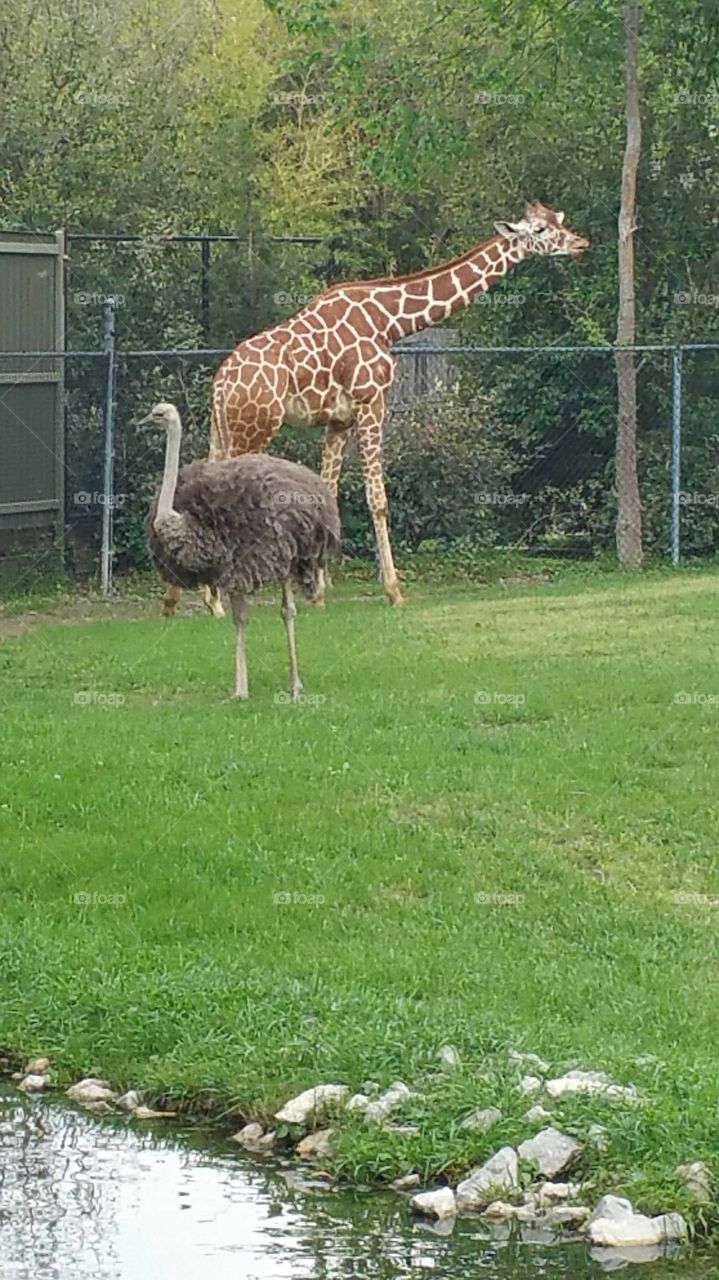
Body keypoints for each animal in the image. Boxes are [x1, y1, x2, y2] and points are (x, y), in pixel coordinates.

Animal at [162, 202, 588, 615]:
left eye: (558, 218)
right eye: (541, 229)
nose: (580, 243)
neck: (389, 321)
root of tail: (221, 383)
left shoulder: (338, 419)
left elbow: (329, 493)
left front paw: (319, 592)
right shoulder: (372, 401)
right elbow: (377, 499)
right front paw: (393, 591)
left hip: (224, 429)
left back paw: (187, 598)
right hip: (254, 428)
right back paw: (215, 596)